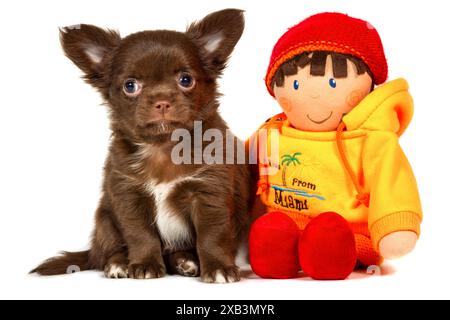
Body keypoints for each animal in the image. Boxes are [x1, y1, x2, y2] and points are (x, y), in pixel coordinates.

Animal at [32, 8, 253, 282]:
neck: (164, 147)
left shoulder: (209, 193)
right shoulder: (128, 196)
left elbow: (212, 235)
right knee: (108, 251)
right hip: (105, 219)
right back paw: (119, 265)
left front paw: (219, 268)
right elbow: (140, 235)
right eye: (130, 86)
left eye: (186, 80)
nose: (162, 101)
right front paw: (145, 264)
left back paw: (186, 262)